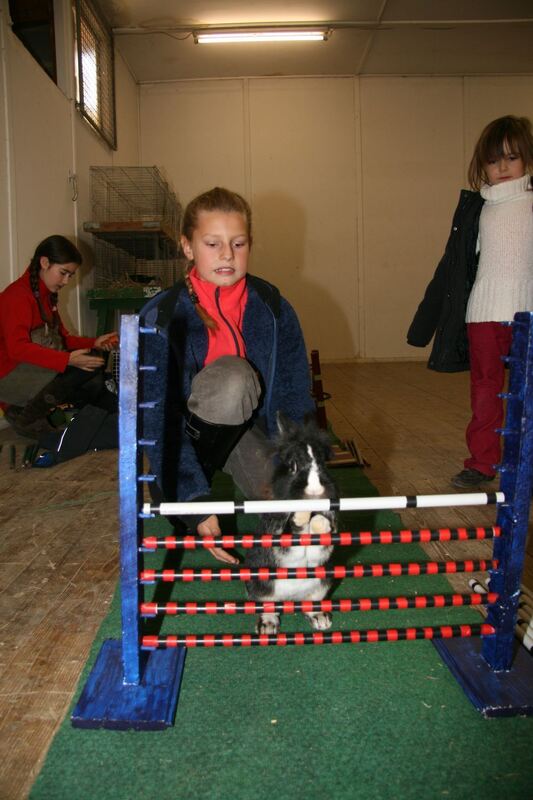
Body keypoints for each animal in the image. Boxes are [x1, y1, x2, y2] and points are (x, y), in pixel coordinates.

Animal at [243, 416, 334, 636]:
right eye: (292, 467)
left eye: (323, 464)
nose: (315, 491)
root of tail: (290, 600)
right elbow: (293, 535)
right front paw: (301, 518)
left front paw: (320, 521)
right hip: (261, 586)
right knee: (268, 607)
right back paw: (267, 627)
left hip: (322, 585)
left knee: (311, 605)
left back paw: (320, 619)